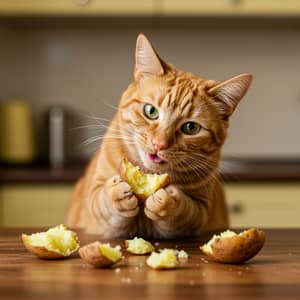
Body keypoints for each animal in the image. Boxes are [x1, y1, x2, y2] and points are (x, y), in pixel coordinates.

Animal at [65, 33, 251, 239]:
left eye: (191, 128)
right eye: (151, 111)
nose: (159, 144)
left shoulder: (202, 210)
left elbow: (188, 211)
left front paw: (169, 202)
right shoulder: (94, 203)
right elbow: (101, 202)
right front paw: (116, 195)